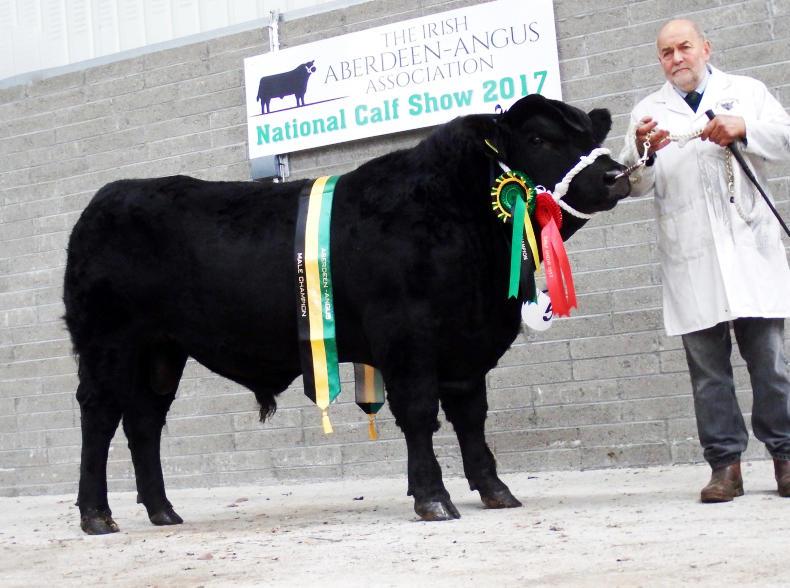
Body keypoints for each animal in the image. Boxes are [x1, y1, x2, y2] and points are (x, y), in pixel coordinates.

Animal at [63, 94, 631, 535]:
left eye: (589, 134)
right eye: (538, 139)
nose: (616, 175)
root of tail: (109, 196)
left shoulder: (466, 347)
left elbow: (471, 416)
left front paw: (494, 489)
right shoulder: (406, 336)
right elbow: (420, 413)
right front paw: (433, 498)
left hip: (161, 351)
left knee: (144, 421)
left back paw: (162, 510)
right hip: (106, 342)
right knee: (100, 415)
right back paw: (96, 514)